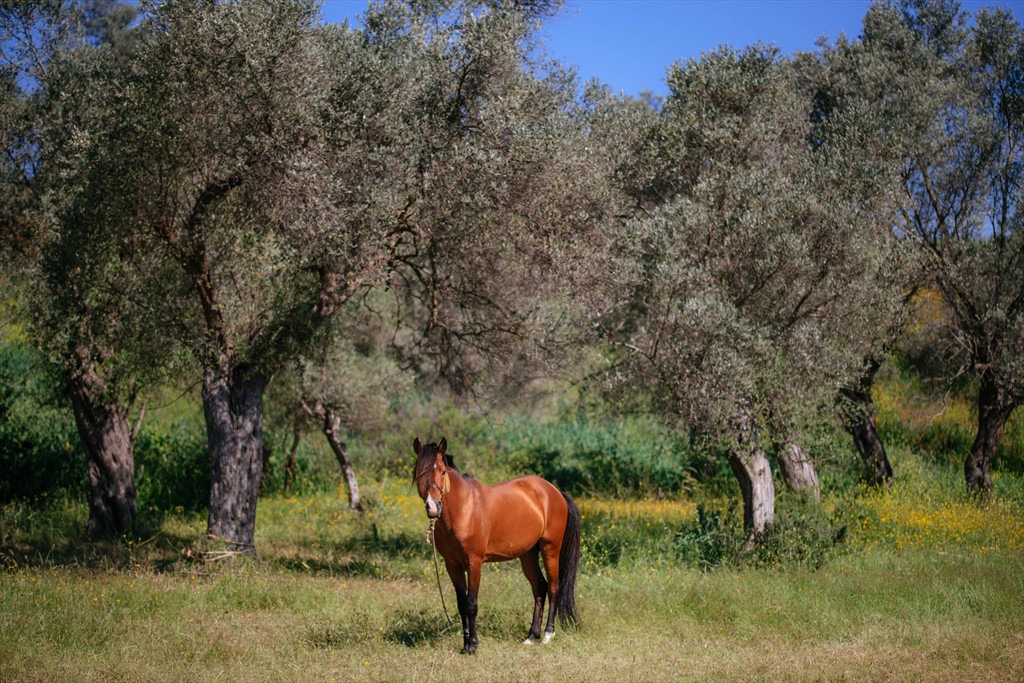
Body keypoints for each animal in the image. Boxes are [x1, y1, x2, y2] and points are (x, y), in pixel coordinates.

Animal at [411, 440, 581, 655]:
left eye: (442, 471)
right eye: (418, 472)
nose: (433, 507)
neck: (464, 509)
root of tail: (555, 492)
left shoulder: (474, 563)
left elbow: (471, 604)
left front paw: (472, 645)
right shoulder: (452, 565)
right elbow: (461, 604)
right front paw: (465, 644)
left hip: (550, 549)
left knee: (553, 587)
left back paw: (548, 635)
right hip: (528, 554)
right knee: (539, 587)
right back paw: (531, 636)